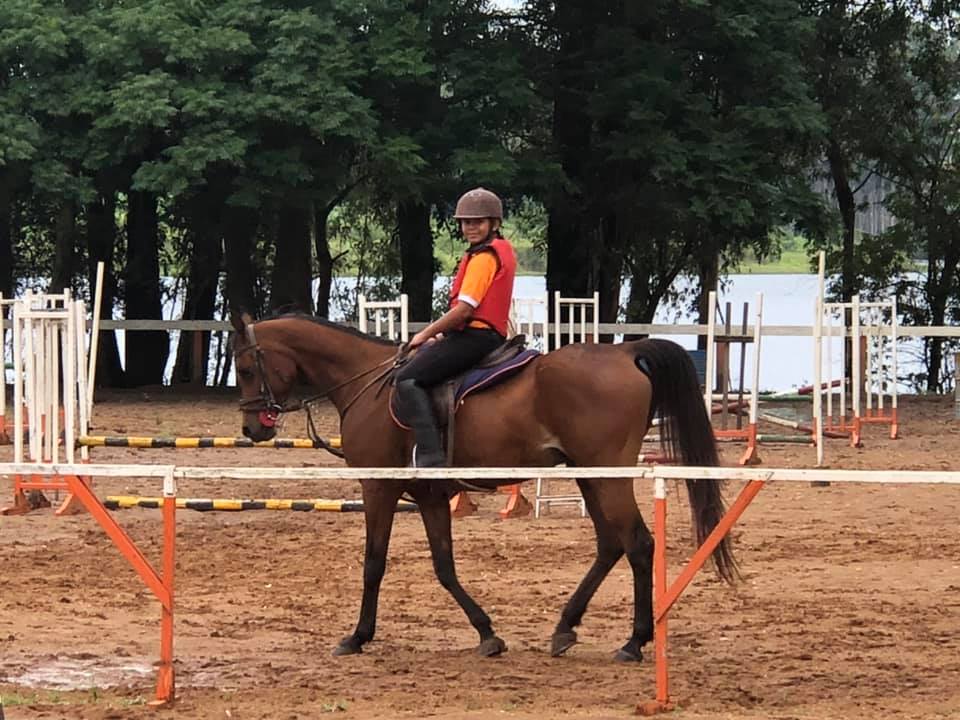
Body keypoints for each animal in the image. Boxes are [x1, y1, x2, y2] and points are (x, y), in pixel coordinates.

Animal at [231, 312, 736, 660]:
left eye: (247, 368)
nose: (253, 428)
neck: (368, 384)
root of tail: (623, 353)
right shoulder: (430, 496)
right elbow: (444, 567)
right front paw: (487, 633)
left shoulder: (379, 488)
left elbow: (374, 564)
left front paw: (357, 637)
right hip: (590, 476)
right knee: (611, 545)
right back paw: (566, 627)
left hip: (605, 476)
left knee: (638, 544)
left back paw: (633, 642)